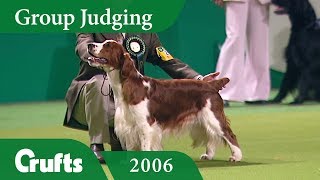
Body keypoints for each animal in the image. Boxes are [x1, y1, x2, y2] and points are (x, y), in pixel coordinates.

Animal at [86, 40, 241, 162]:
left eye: (107, 45)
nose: (89, 44)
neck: (128, 84)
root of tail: (211, 85)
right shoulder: (128, 125)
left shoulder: (145, 125)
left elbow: (145, 146)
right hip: (203, 118)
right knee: (211, 135)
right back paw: (208, 155)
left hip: (213, 115)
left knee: (229, 134)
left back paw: (236, 157)